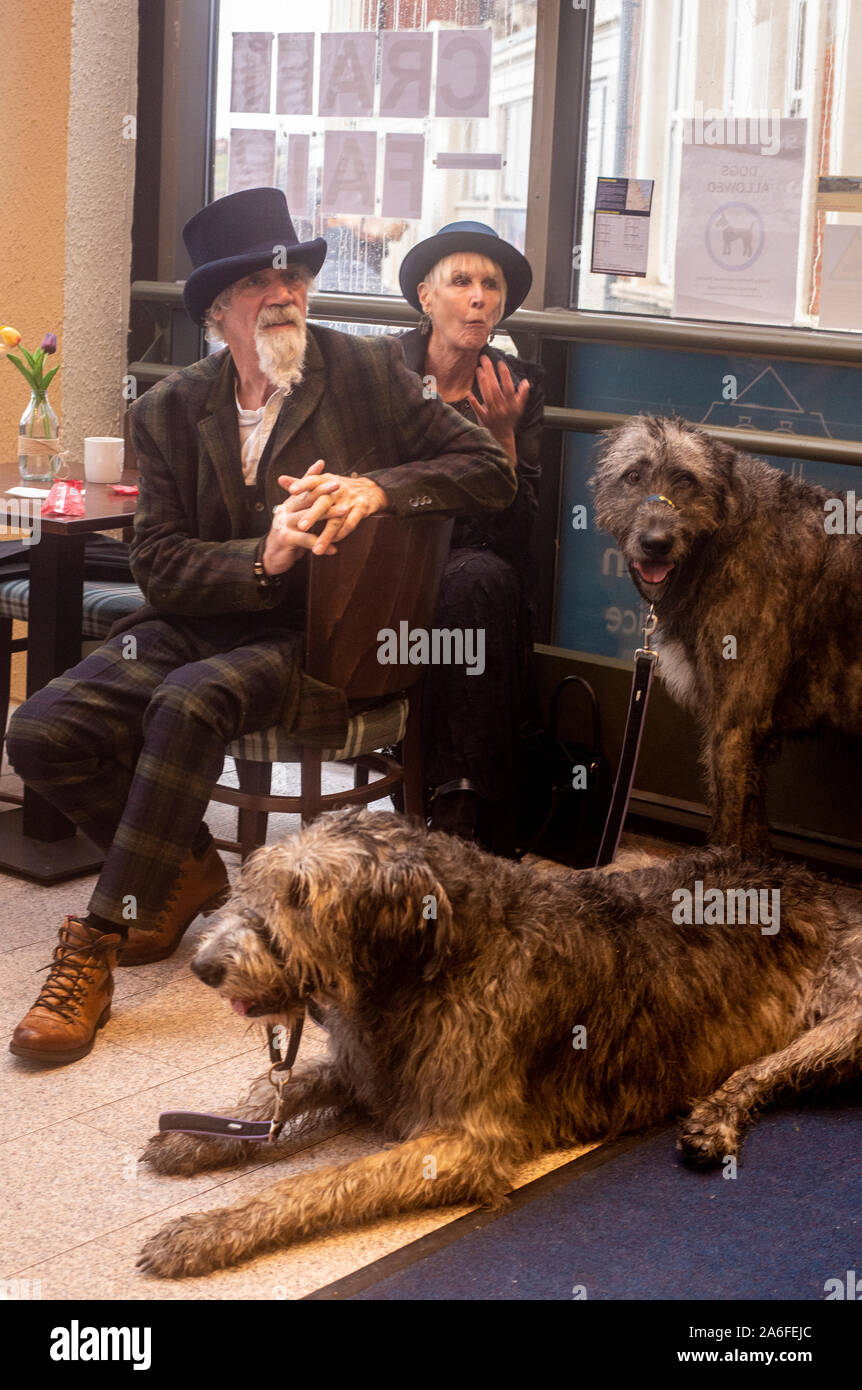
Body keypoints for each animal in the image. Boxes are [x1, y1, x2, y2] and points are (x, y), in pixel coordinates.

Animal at [136, 811, 862, 1273]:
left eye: (302, 896)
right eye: (260, 881)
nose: (203, 966)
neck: (434, 962)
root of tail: (817, 880)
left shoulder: (465, 1144)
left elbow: (325, 1182)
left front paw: (206, 1231)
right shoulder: (371, 1064)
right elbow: (280, 1090)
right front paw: (195, 1136)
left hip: (846, 1016)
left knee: (765, 1070)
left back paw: (715, 1118)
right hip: (628, 859)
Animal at [589, 417, 862, 856]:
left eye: (687, 479)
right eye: (632, 475)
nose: (655, 543)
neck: (725, 536)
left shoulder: (734, 729)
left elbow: (729, 831)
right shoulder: (751, 742)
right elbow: (753, 834)